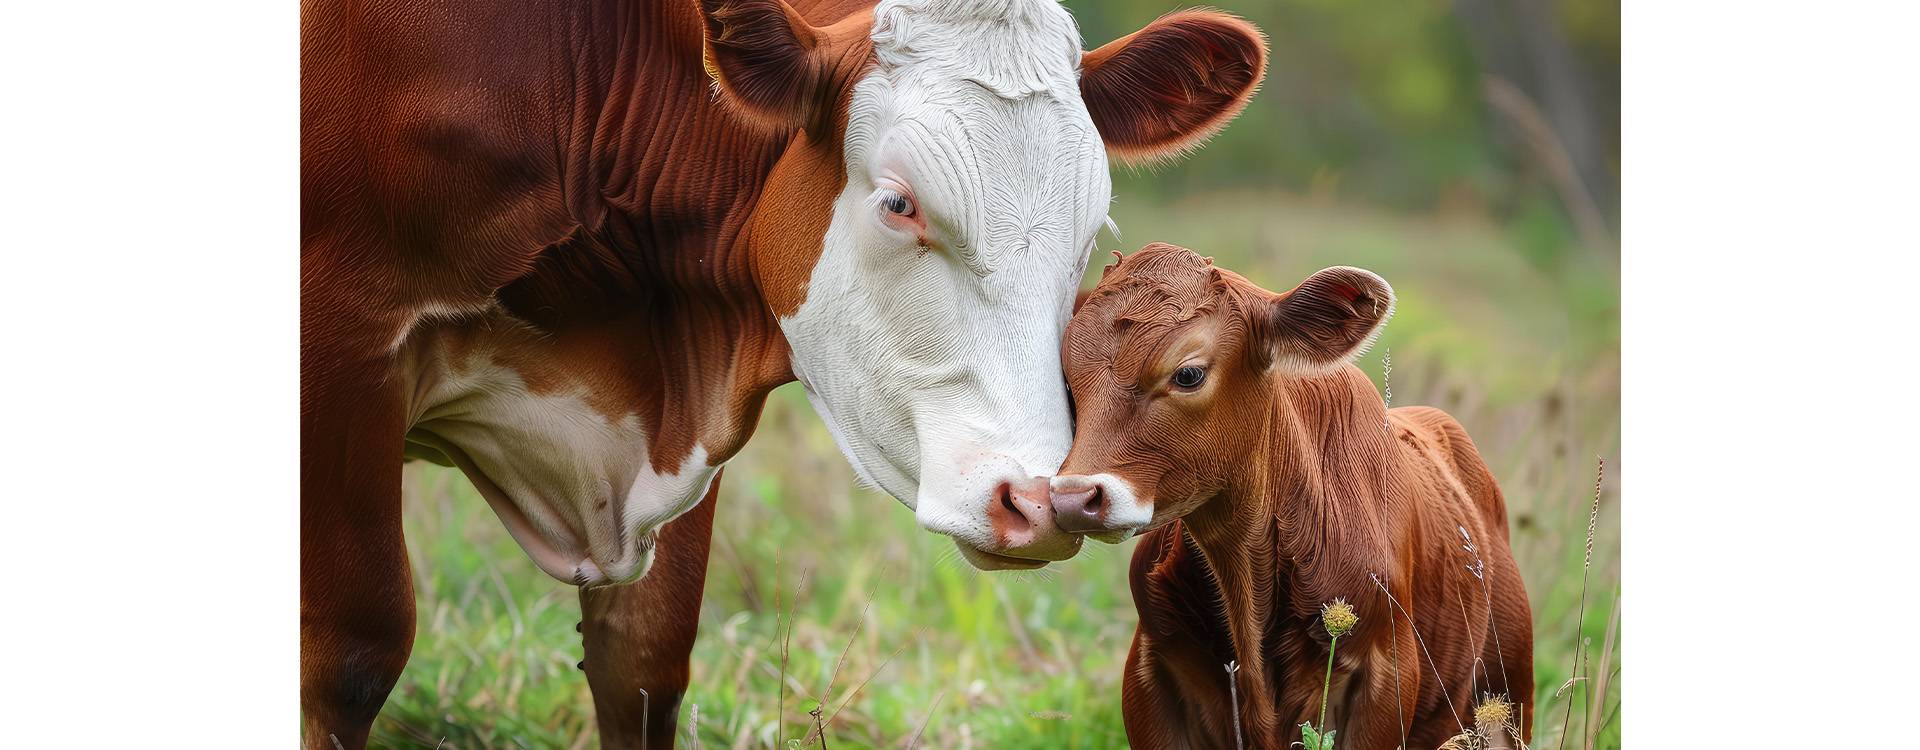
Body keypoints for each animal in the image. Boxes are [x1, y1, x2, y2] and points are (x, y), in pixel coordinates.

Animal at [299, 0, 1267, 748]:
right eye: (899, 204)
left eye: (1094, 230)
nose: (1041, 500)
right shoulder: (341, 351)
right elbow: (353, 656)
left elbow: (643, 663)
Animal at [1044, 243, 1536, 748]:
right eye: (1066, 381)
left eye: (1188, 374)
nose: (1072, 499)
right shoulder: (1151, 672)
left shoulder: (1386, 677)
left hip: (1508, 695)